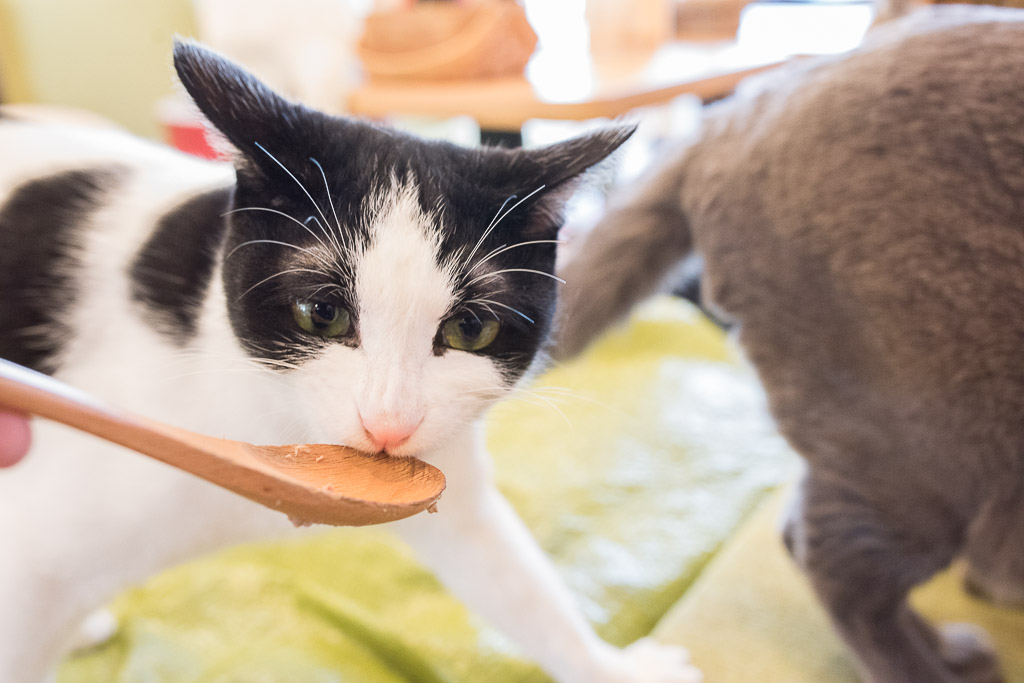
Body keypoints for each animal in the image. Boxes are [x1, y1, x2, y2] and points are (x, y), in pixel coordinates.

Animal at [0, 44, 700, 683]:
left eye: (471, 329)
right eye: (322, 314)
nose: (388, 422)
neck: (278, 435)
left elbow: (513, 580)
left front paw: (614, 668)